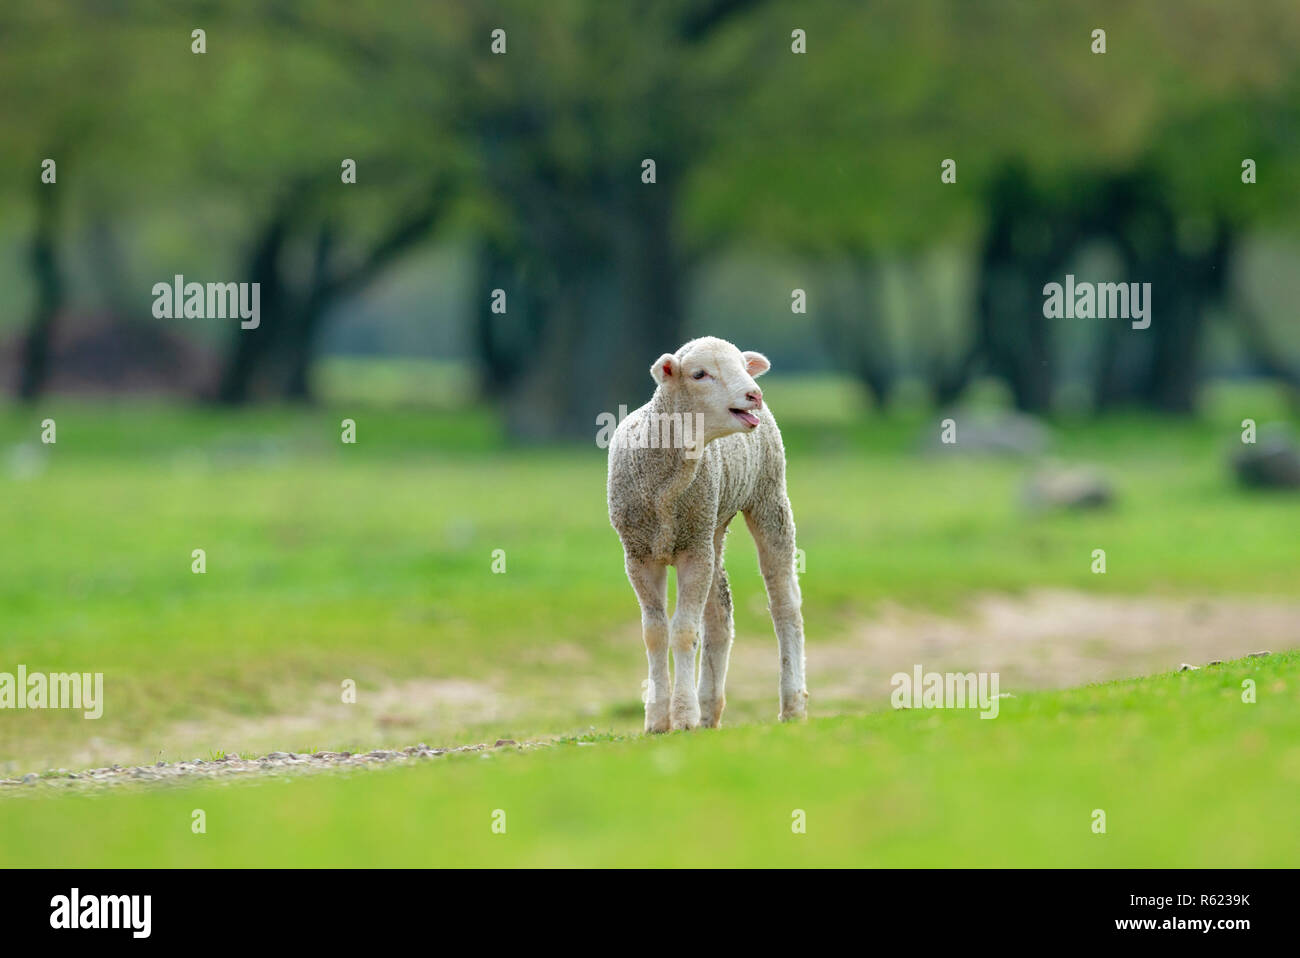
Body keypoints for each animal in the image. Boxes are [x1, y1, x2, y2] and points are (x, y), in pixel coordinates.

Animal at [605, 335, 806, 733]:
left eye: (742, 366)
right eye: (699, 374)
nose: (753, 394)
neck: (664, 494)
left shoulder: (692, 553)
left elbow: (684, 631)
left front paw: (682, 714)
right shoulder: (639, 555)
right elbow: (654, 633)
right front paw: (657, 719)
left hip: (768, 497)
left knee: (784, 602)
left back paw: (792, 705)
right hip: (711, 525)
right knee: (720, 614)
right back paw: (709, 709)